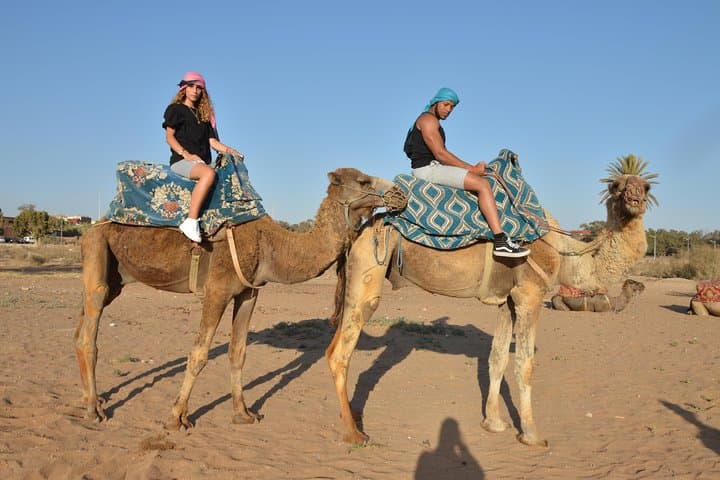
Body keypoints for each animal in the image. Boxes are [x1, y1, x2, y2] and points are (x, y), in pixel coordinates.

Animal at [74, 168, 404, 429]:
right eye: (363, 180)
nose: (399, 193)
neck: (270, 244)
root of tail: (92, 226)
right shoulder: (217, 289)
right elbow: (199, 354)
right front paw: (176, 417)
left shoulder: (249, 292)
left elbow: (238, 353)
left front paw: (243, 414)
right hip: (97, 251)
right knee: (90, 334)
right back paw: (93, 411)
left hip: (114, 277)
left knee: (81, 330)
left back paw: (93, 399)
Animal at [326, 154, 657, 447]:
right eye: (615, 186)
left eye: (647, 186)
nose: (634, 197)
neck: (564, 255)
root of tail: (360, 231)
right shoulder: (530, 295)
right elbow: (525, 364)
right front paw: (532, 435)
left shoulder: (507, 301)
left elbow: (497, 358)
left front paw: (494, 422)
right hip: (369, 269)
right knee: (341, 353)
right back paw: (354, 434)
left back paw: (351, 418)